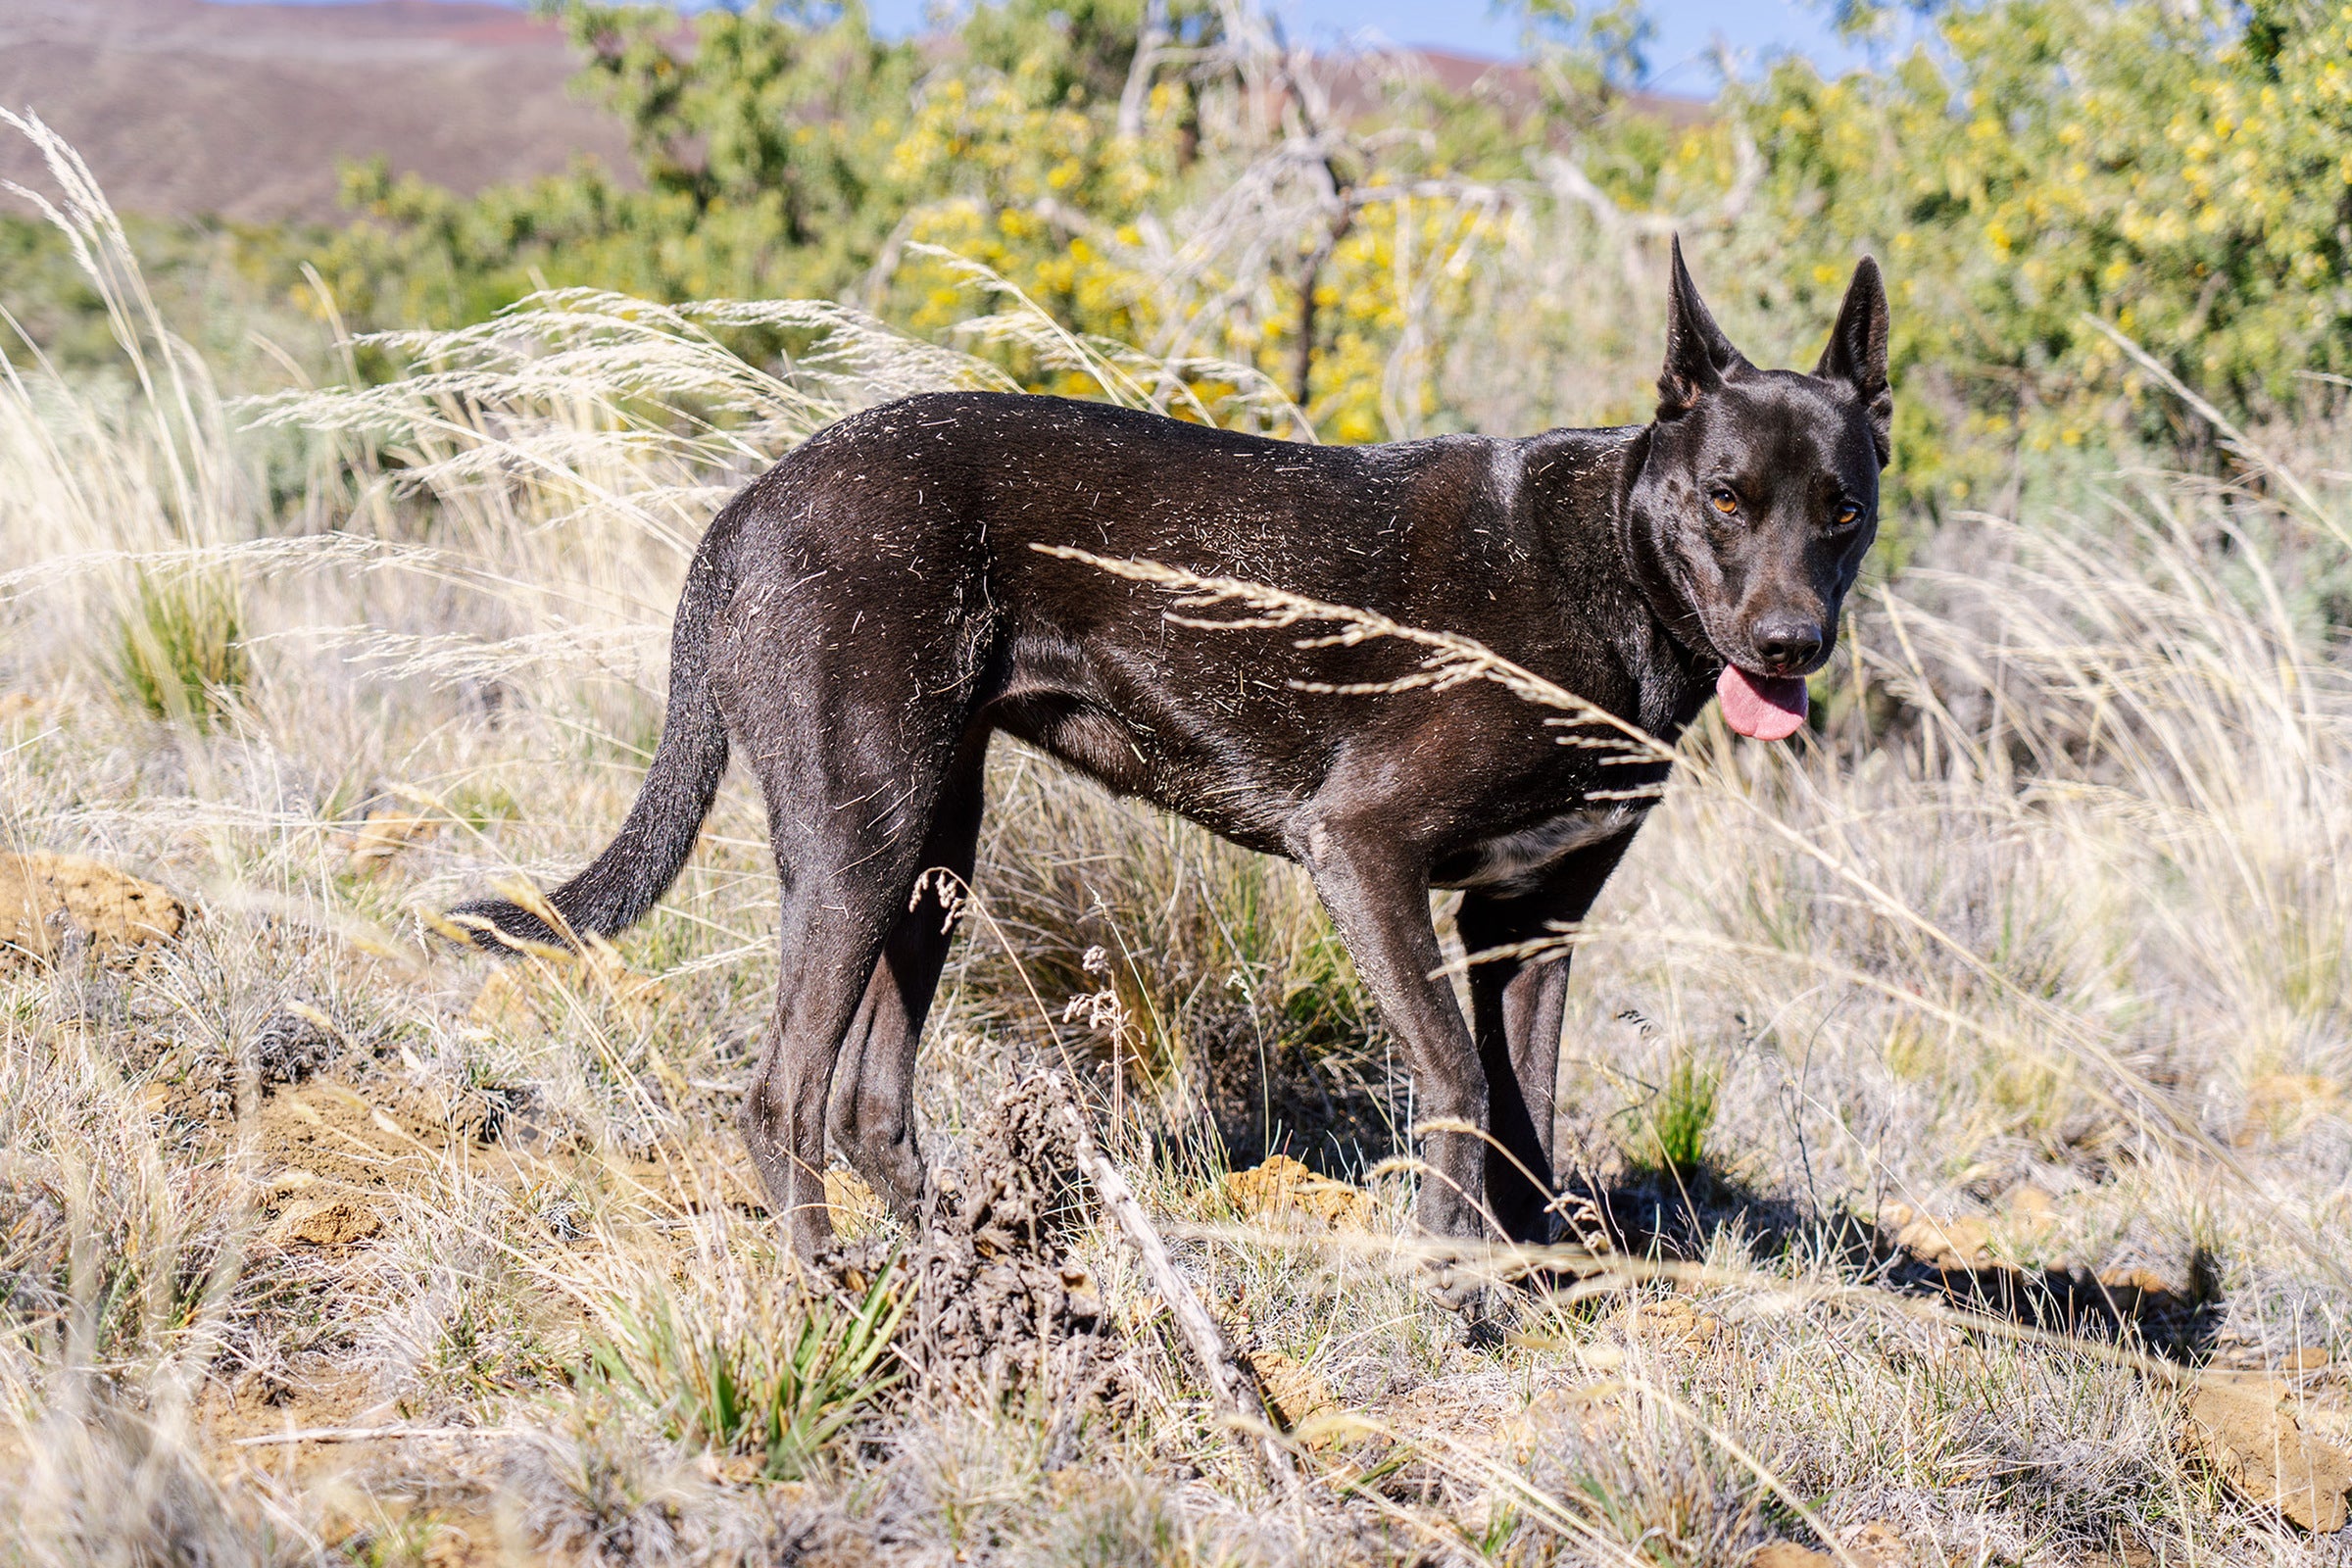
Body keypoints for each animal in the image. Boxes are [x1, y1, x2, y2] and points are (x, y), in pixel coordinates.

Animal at [459, 245, 1890, 1269]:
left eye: (1843, 509)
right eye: (1725, 498)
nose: (1793, 643)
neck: (1614, 573)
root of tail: (750, 503)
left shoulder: (1530, 922)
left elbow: (1528, 1129)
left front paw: (1522, 1298)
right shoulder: (1362, 849)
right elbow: (1459, 1085)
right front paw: (1447, 1287)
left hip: (934, 848)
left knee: (867, 1103)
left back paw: (964, 1263)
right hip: (862, 839)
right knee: (779, 1099)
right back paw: (826, 1287)